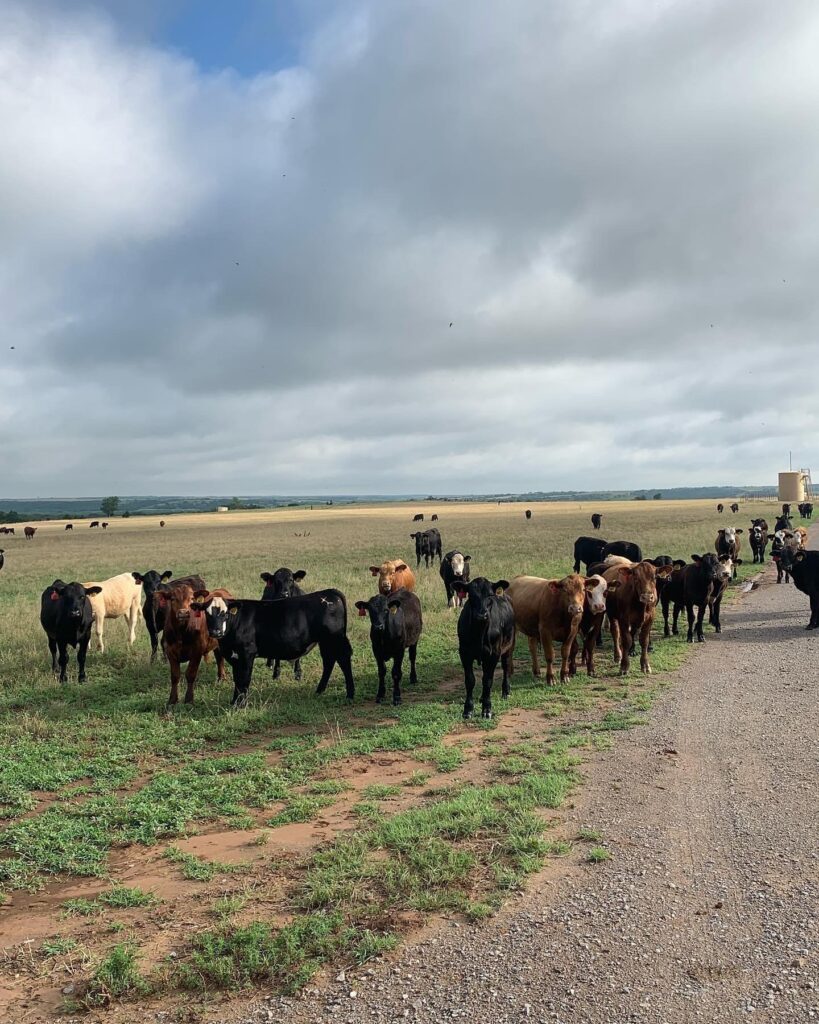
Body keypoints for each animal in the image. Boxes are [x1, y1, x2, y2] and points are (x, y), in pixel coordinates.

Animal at [196, 589, 356, 708]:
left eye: (225, 613)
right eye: (207, 614)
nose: (216, 632)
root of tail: (329, 592)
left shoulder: (247, 653)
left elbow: (244, 679)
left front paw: (241, 705)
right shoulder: (235, 657)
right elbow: (237, 680)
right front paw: (234, 702)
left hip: (335, 639)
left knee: (343, 659)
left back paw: (350, 694)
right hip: (325, 642)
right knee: (329, 661)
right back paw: (319, 690)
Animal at [448, 577, 511, 720]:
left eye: (490, 595)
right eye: (471, 595)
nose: (482, 615)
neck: (479, 632)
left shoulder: (494, 653)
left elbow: (487, 681)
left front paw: (487, 709)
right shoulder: (464, 652)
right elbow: (470, 680)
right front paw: (468, 709)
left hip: (509, 646)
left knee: (506, 667)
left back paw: (506, 691)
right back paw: (482, 697)